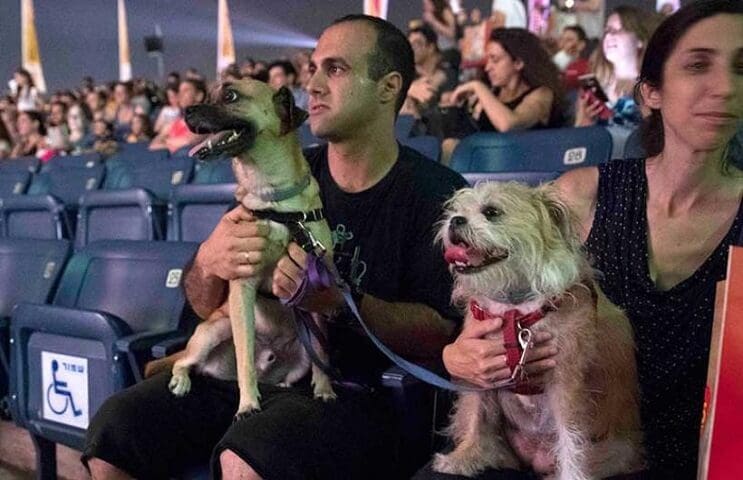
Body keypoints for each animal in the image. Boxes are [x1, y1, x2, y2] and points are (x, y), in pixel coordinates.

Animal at [166, 79, 338, 416]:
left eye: (230, 95)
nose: (186, 110)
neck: (275, 200)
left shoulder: (315, 290)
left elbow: (323, 351)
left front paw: (324, 389)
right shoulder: (242, 287)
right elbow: (244, 356)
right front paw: (247, 404)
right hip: (215, 328)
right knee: (183, 361)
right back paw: (182, 380)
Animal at [434, 183, 644, 480]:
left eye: (491, 212)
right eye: (455, 210)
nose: (455, 221)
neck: (515, 307)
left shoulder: (566, 381)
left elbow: (571, 435)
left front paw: (572, 476)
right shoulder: (480, 372)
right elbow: (476, 416)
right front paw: (465, 457)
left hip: (614, 451)